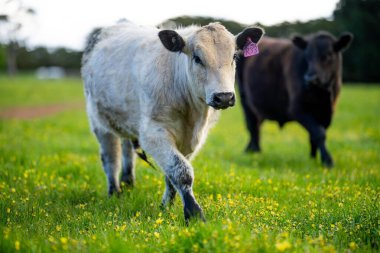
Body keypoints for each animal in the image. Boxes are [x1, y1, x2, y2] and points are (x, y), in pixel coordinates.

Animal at [236, 31, 354, 167]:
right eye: (307, 56)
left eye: (328, 55)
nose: (310, 79)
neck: (323, 95)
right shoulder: (297, 109)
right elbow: (319, 134)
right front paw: (327, 160)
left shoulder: (327, 113)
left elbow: (314, 135)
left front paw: (313, 159)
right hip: (245, 101)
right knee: (252, 126)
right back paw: (255, 152)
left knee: (257, 125)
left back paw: (251, 150)